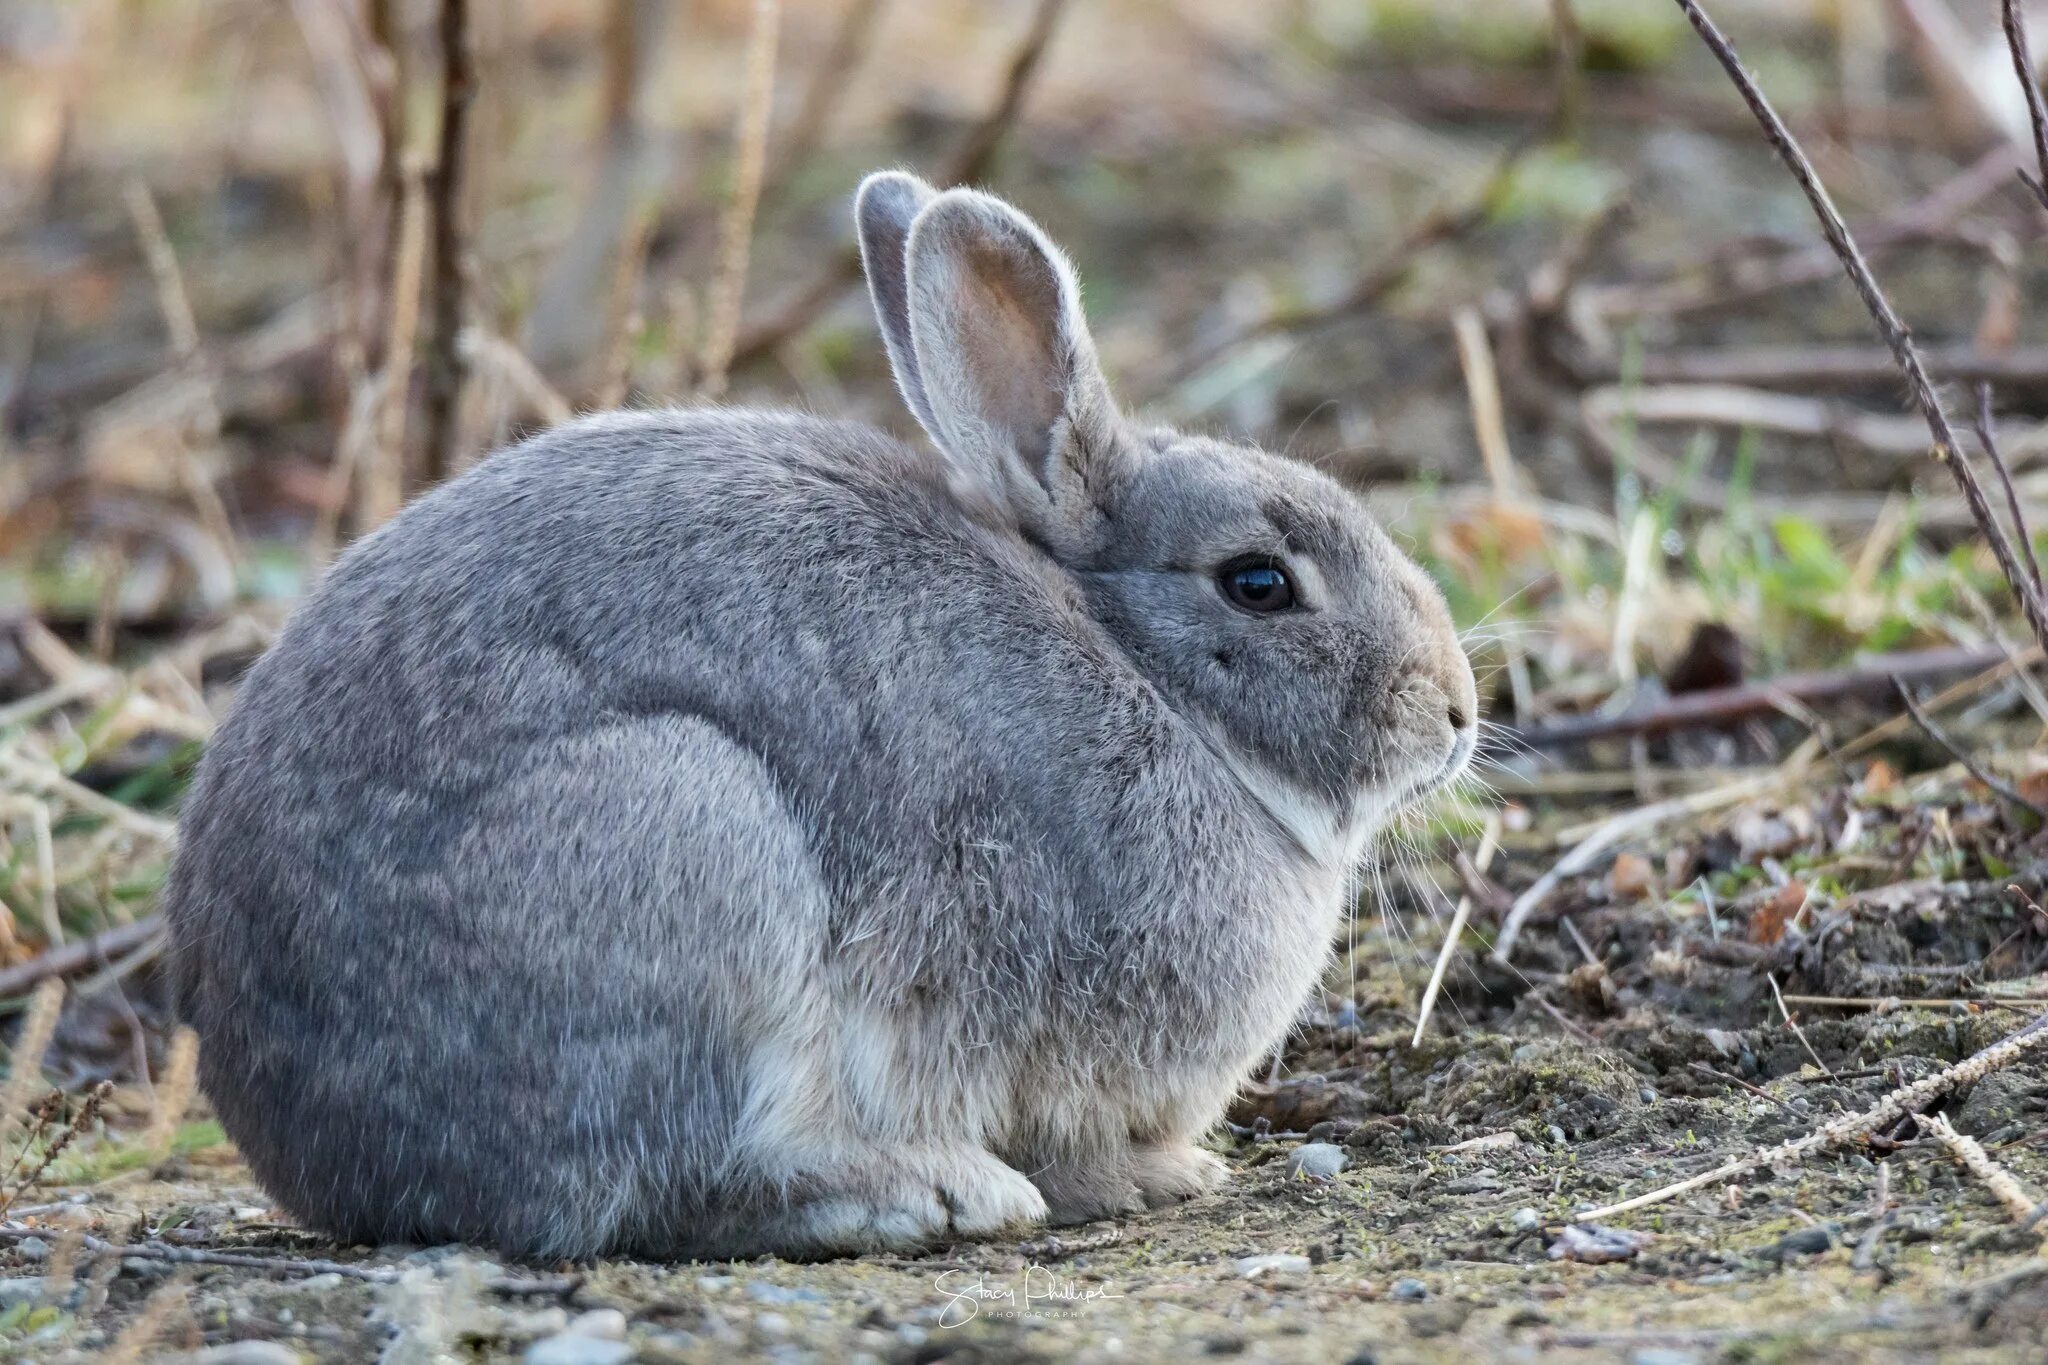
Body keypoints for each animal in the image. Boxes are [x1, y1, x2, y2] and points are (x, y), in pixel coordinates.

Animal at [159, 173, 1474, 1260]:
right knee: (660, 1191)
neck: (1145, 675)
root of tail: (327, 1155)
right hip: (686, 845)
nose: (1455, 711)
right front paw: (1158, 1178)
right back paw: (925, 1194)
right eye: (1257, 582)